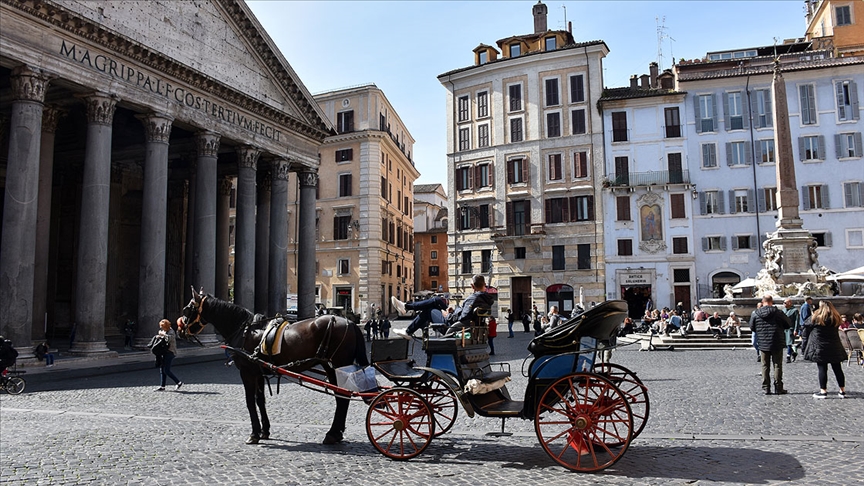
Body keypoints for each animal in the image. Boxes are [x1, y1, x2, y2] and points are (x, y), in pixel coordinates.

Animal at [177, 286, 370, 446]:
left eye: (188, 309)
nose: (179, 329)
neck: (245, 331)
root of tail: (350, 323)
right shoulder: (259, 372)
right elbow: (260, 400)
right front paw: (265, 430)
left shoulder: (247, 372)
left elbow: (250, 401)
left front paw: (254, 433)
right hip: (332, 368)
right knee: (341, 398)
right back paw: (335, 433)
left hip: (337, 365)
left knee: (342, 397)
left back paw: (332, 433)